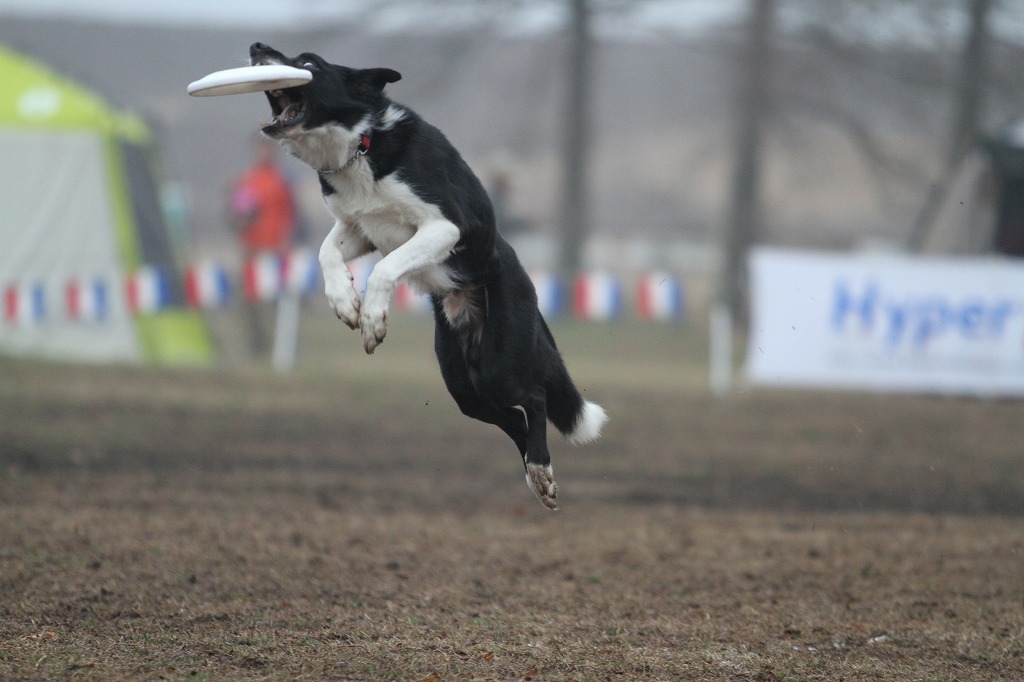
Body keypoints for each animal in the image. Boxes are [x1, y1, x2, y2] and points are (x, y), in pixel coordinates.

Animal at [249, 41, 606, 503]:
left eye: (309, 63)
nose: (256, 46)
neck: (361, 145)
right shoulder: (359, 227)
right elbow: (327, 253)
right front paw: (345, 302)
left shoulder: (444, 225)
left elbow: (386, 267)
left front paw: (372, 320)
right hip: (463, 383)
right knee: (511, 417)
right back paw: (534, 472)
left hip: (501, 361)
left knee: (536, 397)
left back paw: (542, 467)